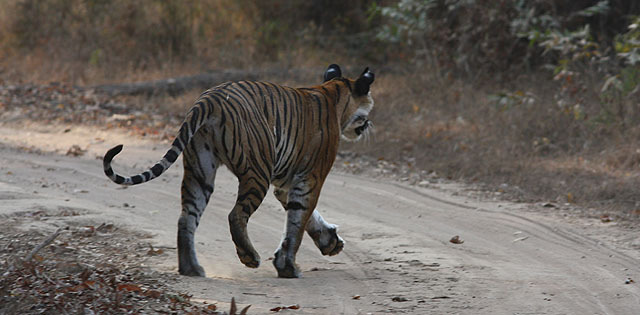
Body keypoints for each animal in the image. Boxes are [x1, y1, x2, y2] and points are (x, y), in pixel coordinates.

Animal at [103, 65, 376, 278]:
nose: (369, 124)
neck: (335, 93)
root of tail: (208, 99)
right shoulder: (310, 178)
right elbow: (297, 223)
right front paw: (288, 267)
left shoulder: (285, 182)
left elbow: (306, 218)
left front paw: (330, 242)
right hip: (258, 171)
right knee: (235, 215)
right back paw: (249, 257)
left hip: (200, 171)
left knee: (186, 218)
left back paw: (192, 269)